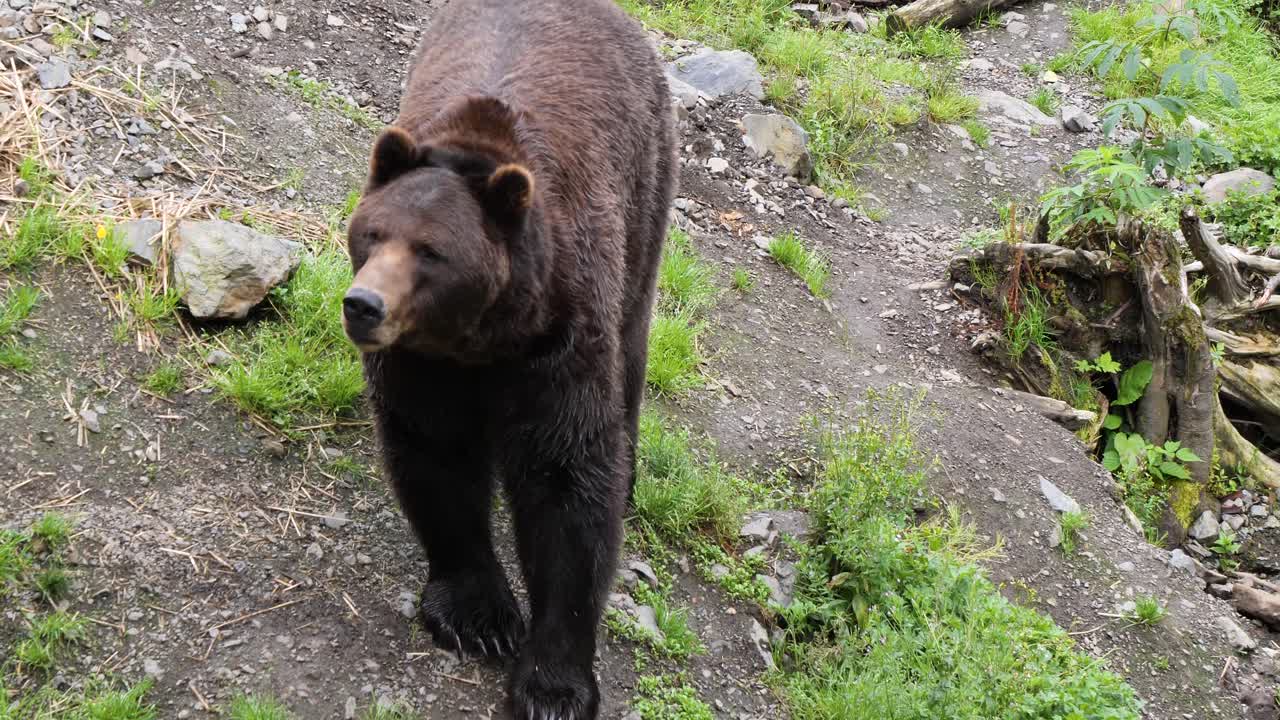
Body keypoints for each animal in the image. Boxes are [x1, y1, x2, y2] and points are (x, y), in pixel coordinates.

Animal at [339, 0, 677, 718]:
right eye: (372, 232)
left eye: (431, 251)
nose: (364, 305)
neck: (482, 337)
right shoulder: (423, 364)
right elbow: (436, 453)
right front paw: (478, 617)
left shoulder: (559, 337)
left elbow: (565, 477)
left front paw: (554, 684)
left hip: (647, 192)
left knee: (633, 349)